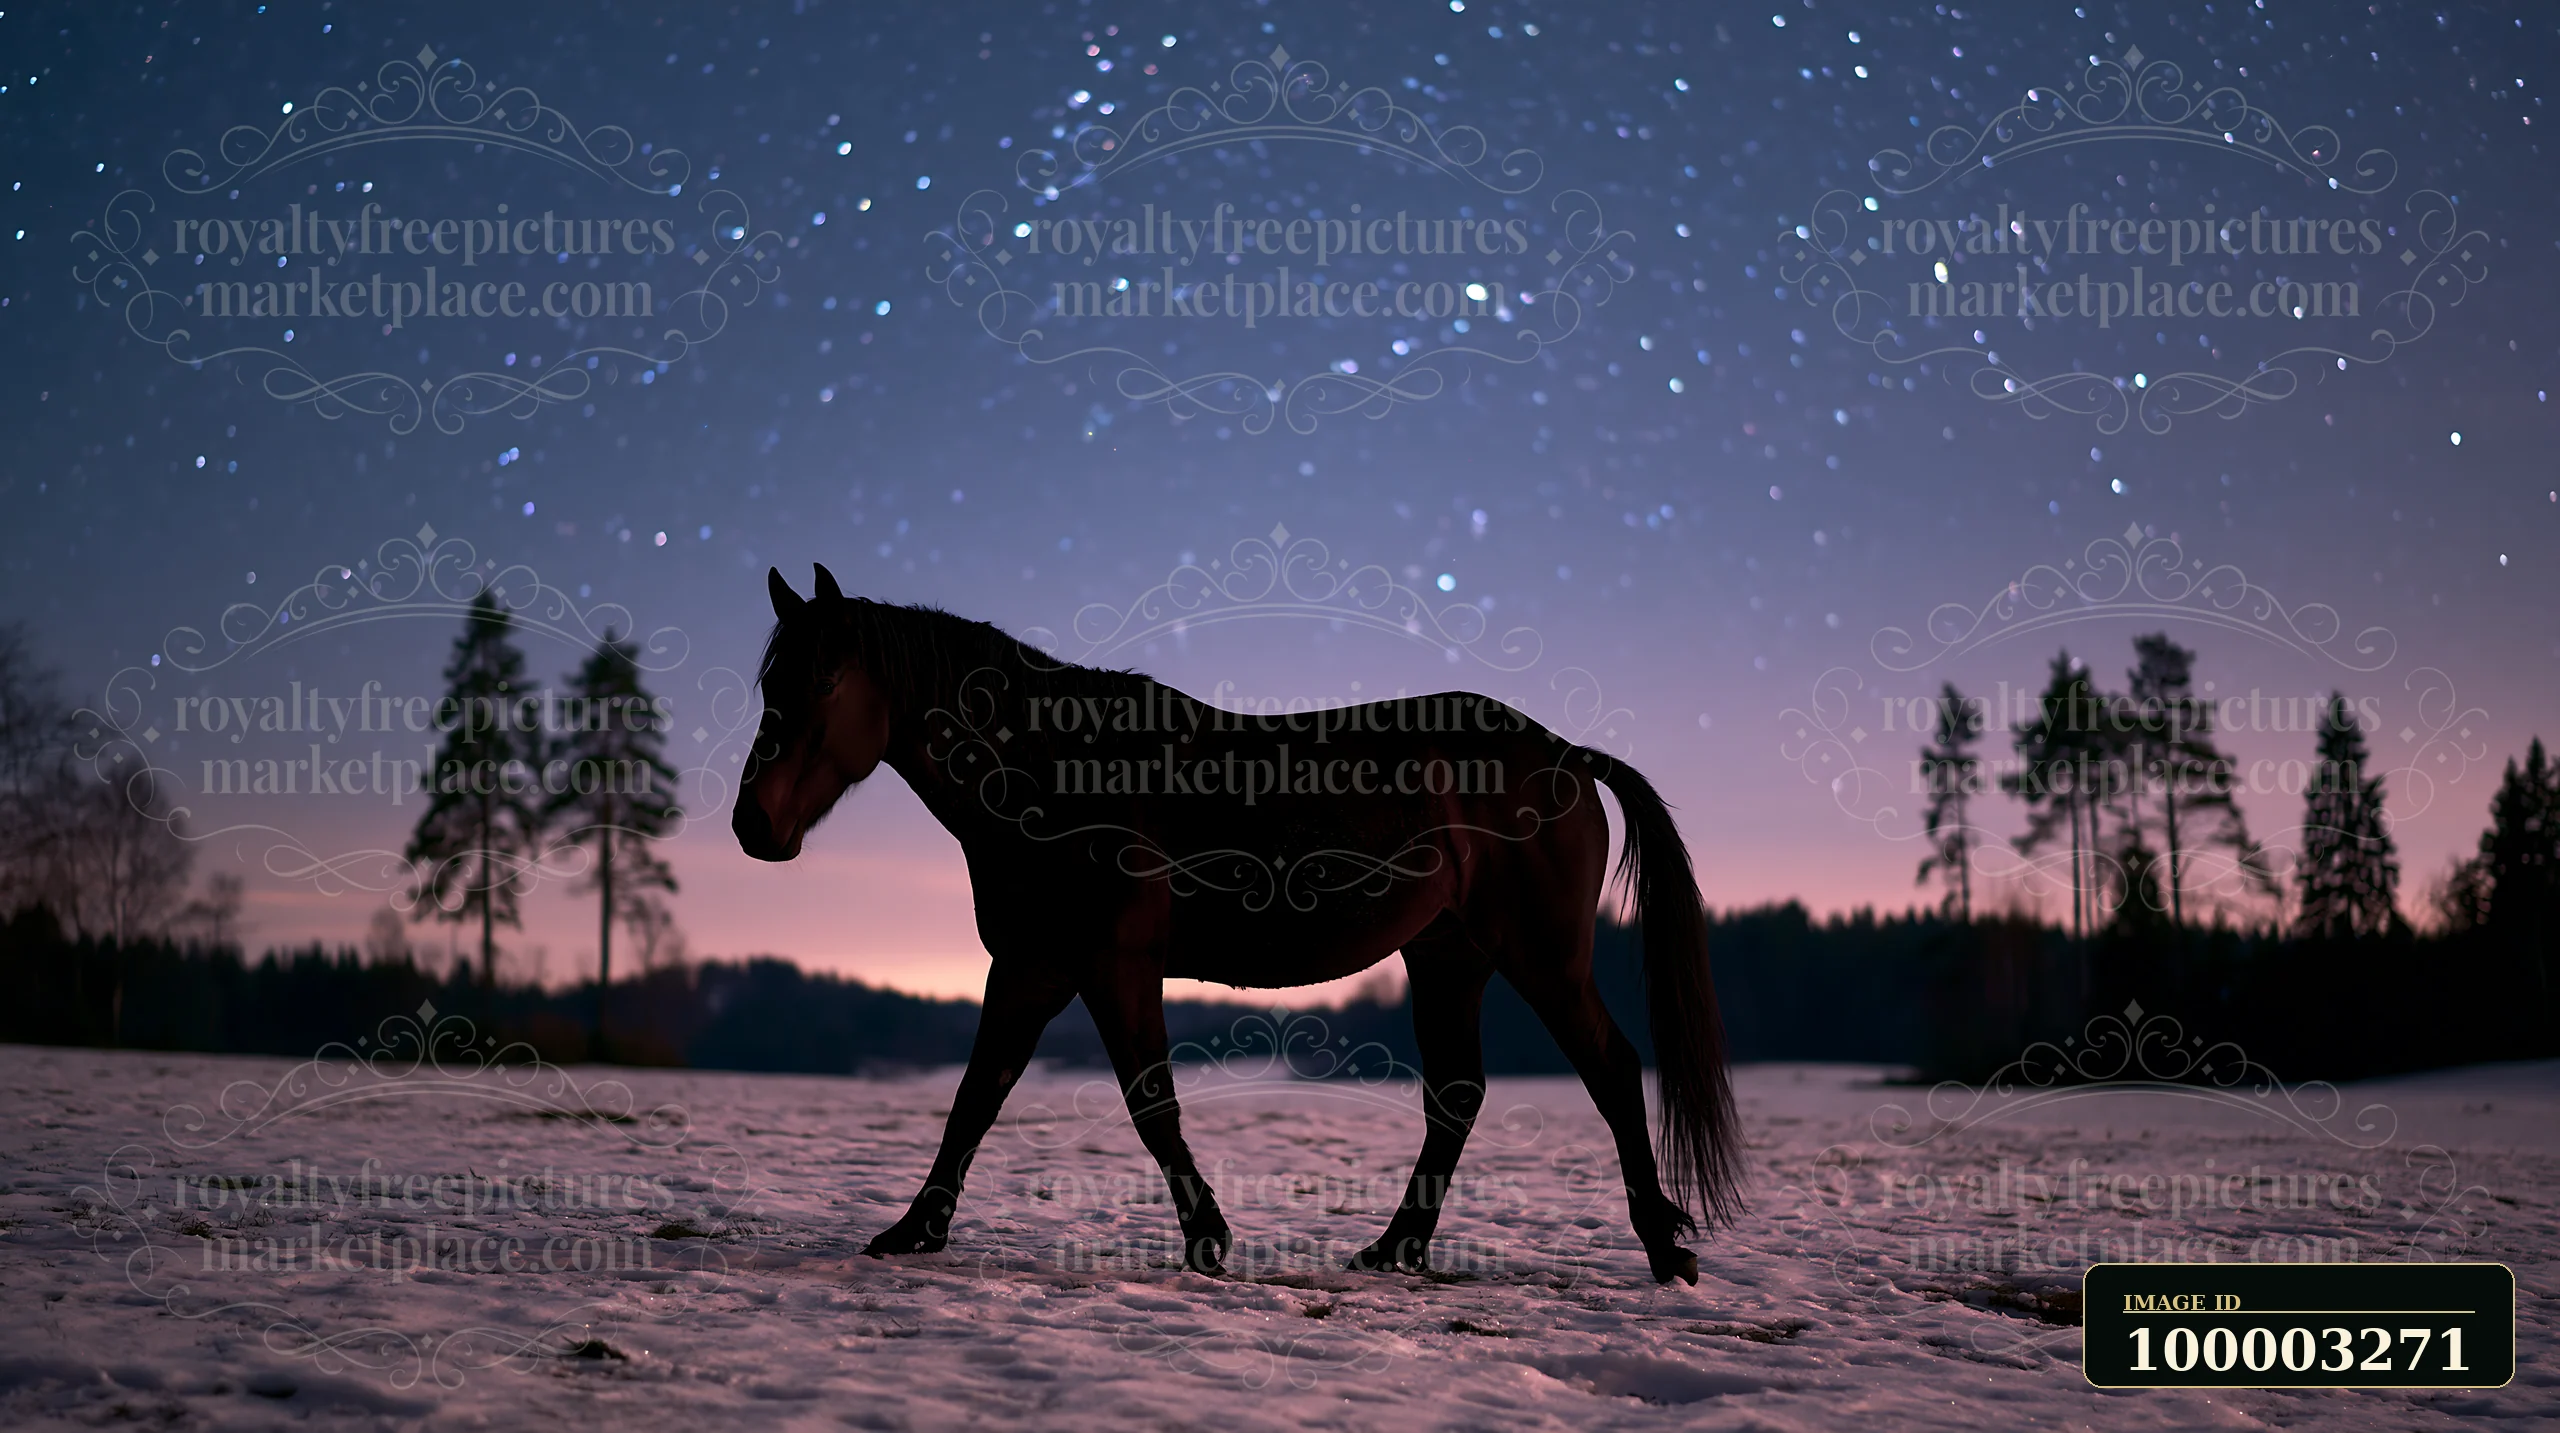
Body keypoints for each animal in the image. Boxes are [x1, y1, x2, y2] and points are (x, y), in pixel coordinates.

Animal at [733, 565, 1745, 1284]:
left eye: (826, 677)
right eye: (769, 682)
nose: (754, 825)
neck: (1057, 770)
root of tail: (1566, 754)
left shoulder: (1113, 965)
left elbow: (1151, 1103)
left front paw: (1208, 1238)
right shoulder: (1029, 966)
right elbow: (977, 1095)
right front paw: (916, 1228)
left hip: (1539, 956)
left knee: (1611, 1069)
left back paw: (1665, 1248)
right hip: (1448, 957)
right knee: (1456, 1095)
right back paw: (1396, 1248)